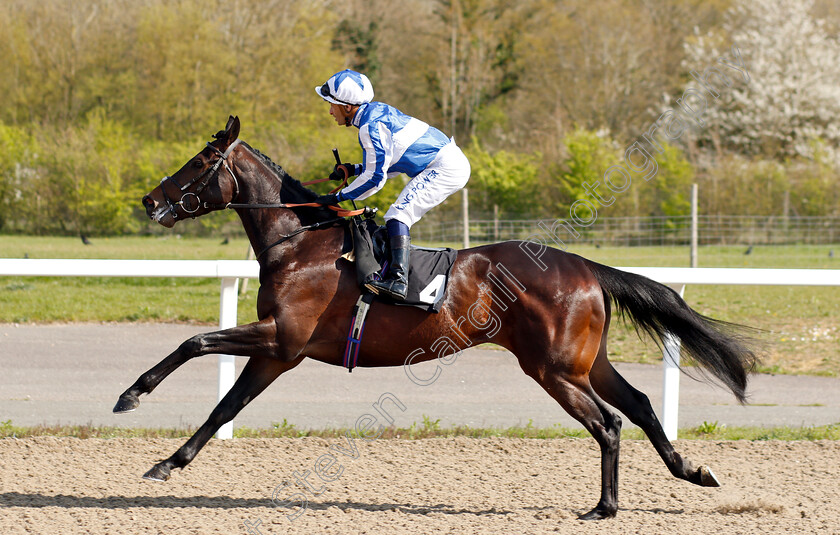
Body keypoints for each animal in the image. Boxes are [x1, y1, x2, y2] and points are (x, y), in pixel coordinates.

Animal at [115, 116, 756, 520]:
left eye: (201, 161)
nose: (149, 200)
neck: (300, 244)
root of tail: (585, 267)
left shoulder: (281, 339)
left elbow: (196, 343)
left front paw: (132, 395)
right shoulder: (279, 353)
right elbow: (225, 405)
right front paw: (168, 462)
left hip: (552, 369)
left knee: (609, 424)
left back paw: (605, 507)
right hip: (583, 362)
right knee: (641, 405)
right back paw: (690, 472)